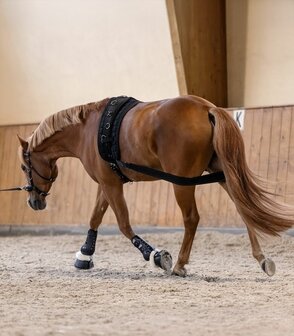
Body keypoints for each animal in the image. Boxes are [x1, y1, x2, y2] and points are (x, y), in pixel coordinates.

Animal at [17, 96, 292, 276]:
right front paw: (84, 255)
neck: (89, 130)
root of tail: (207, 108)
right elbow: (95, 217)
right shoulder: (107, 183)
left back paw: (179, 264)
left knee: (192, 218)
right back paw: (262, 259)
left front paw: (157, 256)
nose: (33, 202)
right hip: (223, 174)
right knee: (243, 210)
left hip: (182, 183)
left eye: (22, 167)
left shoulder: (110, 184)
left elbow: (124, 224)